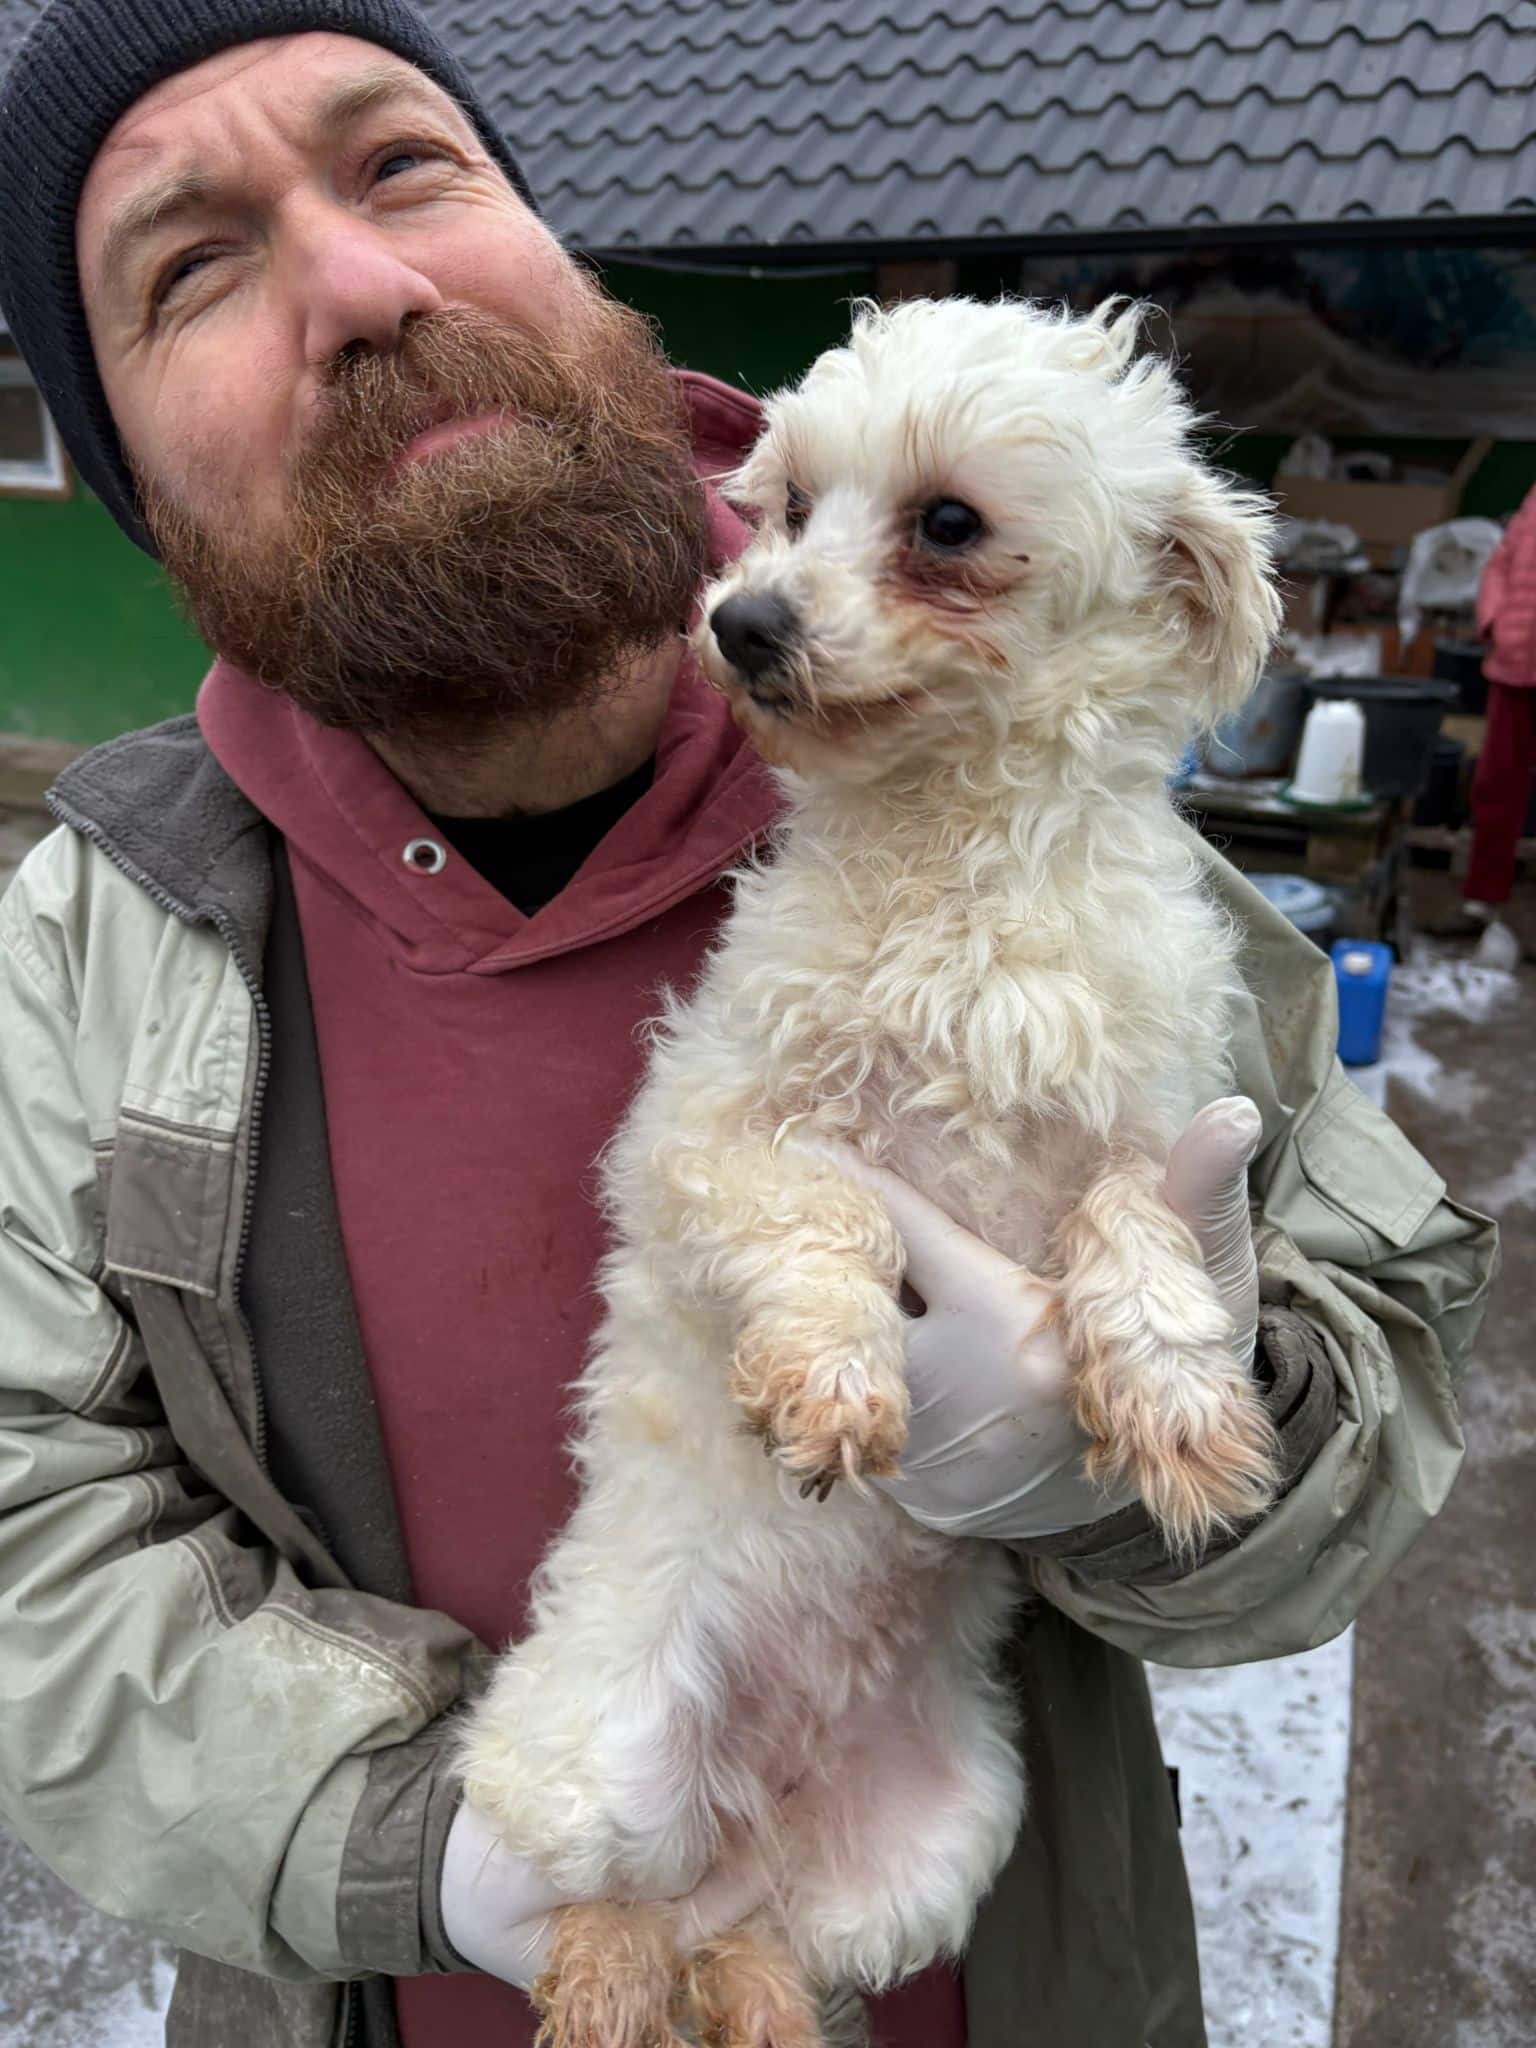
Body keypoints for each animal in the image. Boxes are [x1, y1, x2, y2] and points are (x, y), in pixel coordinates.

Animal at [460, 295, 1283, 2047]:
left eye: (947, 525)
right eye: (783, 506)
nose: (744, 620)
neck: (964, 869)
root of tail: (750, 1821)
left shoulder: (1154, 1121)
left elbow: (1140, 1236)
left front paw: (1180, 1405)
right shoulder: (701, 1138)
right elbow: (826, 1200)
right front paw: (837, 1379)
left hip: (941, 1841)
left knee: (757, 1950)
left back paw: (752, 1993)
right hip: (596, 1764)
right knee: (608, 1907)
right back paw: (604, 1983)